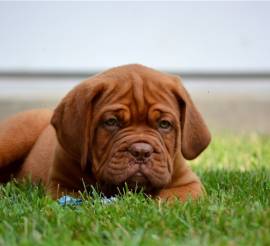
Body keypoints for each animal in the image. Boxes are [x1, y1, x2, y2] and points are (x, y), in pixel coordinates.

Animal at [0, 64, 211, 201]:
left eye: (164, 124)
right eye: (111, 122)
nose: (141, 152)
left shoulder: (188, 185)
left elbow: (170, 200)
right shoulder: (62, 187)